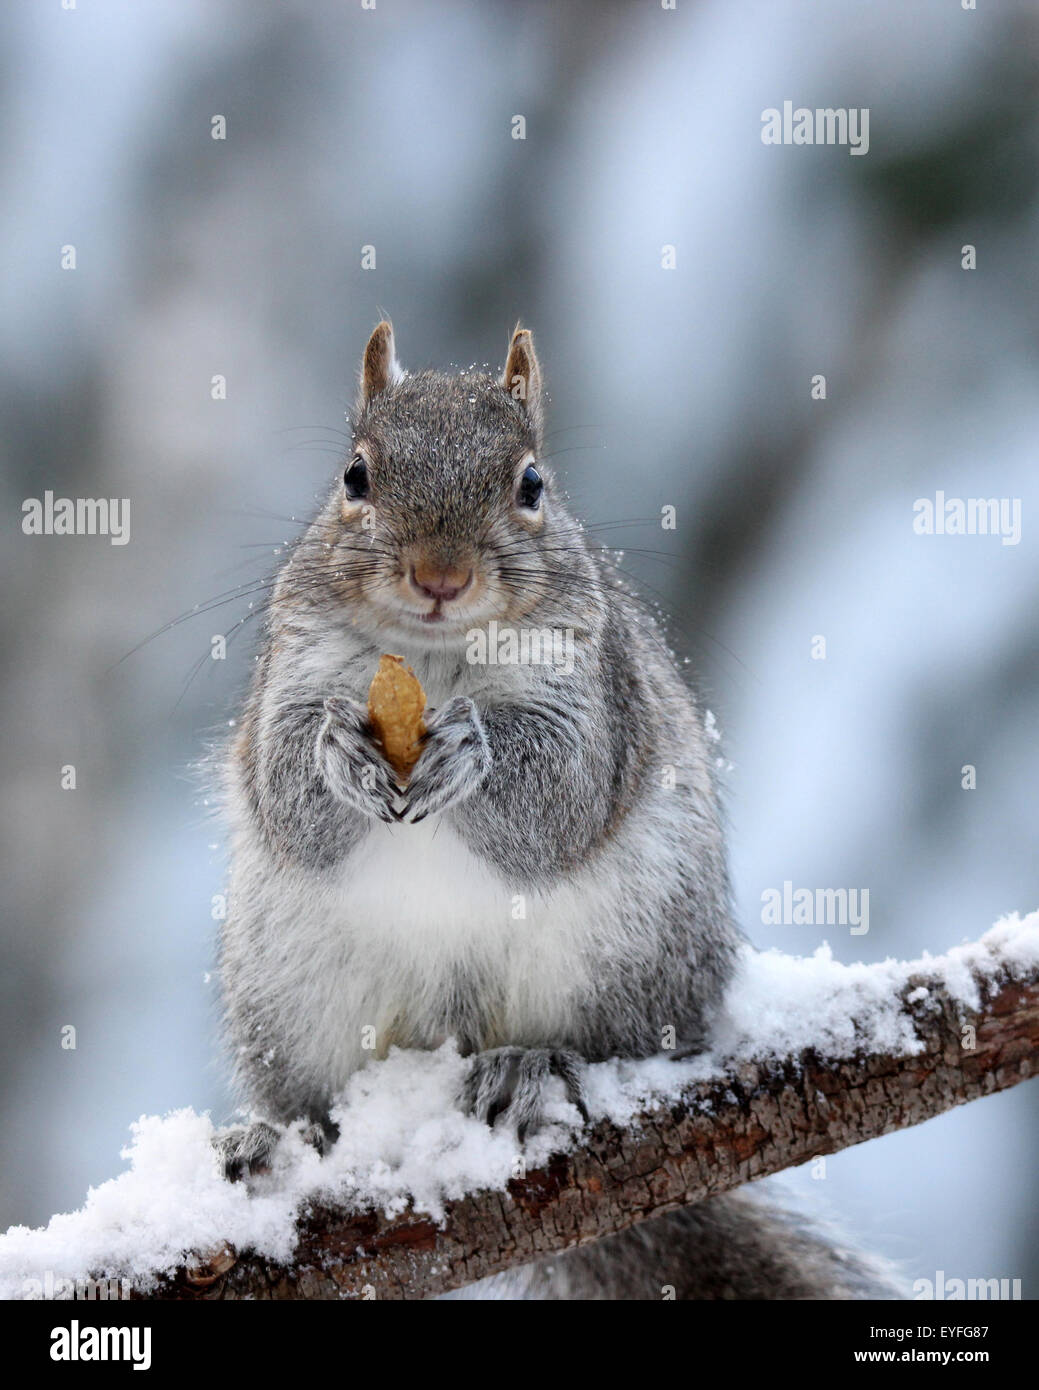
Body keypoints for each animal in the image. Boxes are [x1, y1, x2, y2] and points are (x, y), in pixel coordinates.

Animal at [219, 319, 901, 1295]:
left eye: (530, 484)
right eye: (354, 477)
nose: (439, 576)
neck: (432, 664)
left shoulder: (589, 689)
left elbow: (561, 798)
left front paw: (472, 750)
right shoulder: (295, 667)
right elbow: (285, 791)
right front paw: (337, 753)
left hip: (632, 960)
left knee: (611, 1046)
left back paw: (531, 1065)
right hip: (287, 999)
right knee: (313, 1102)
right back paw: (282, 1139)